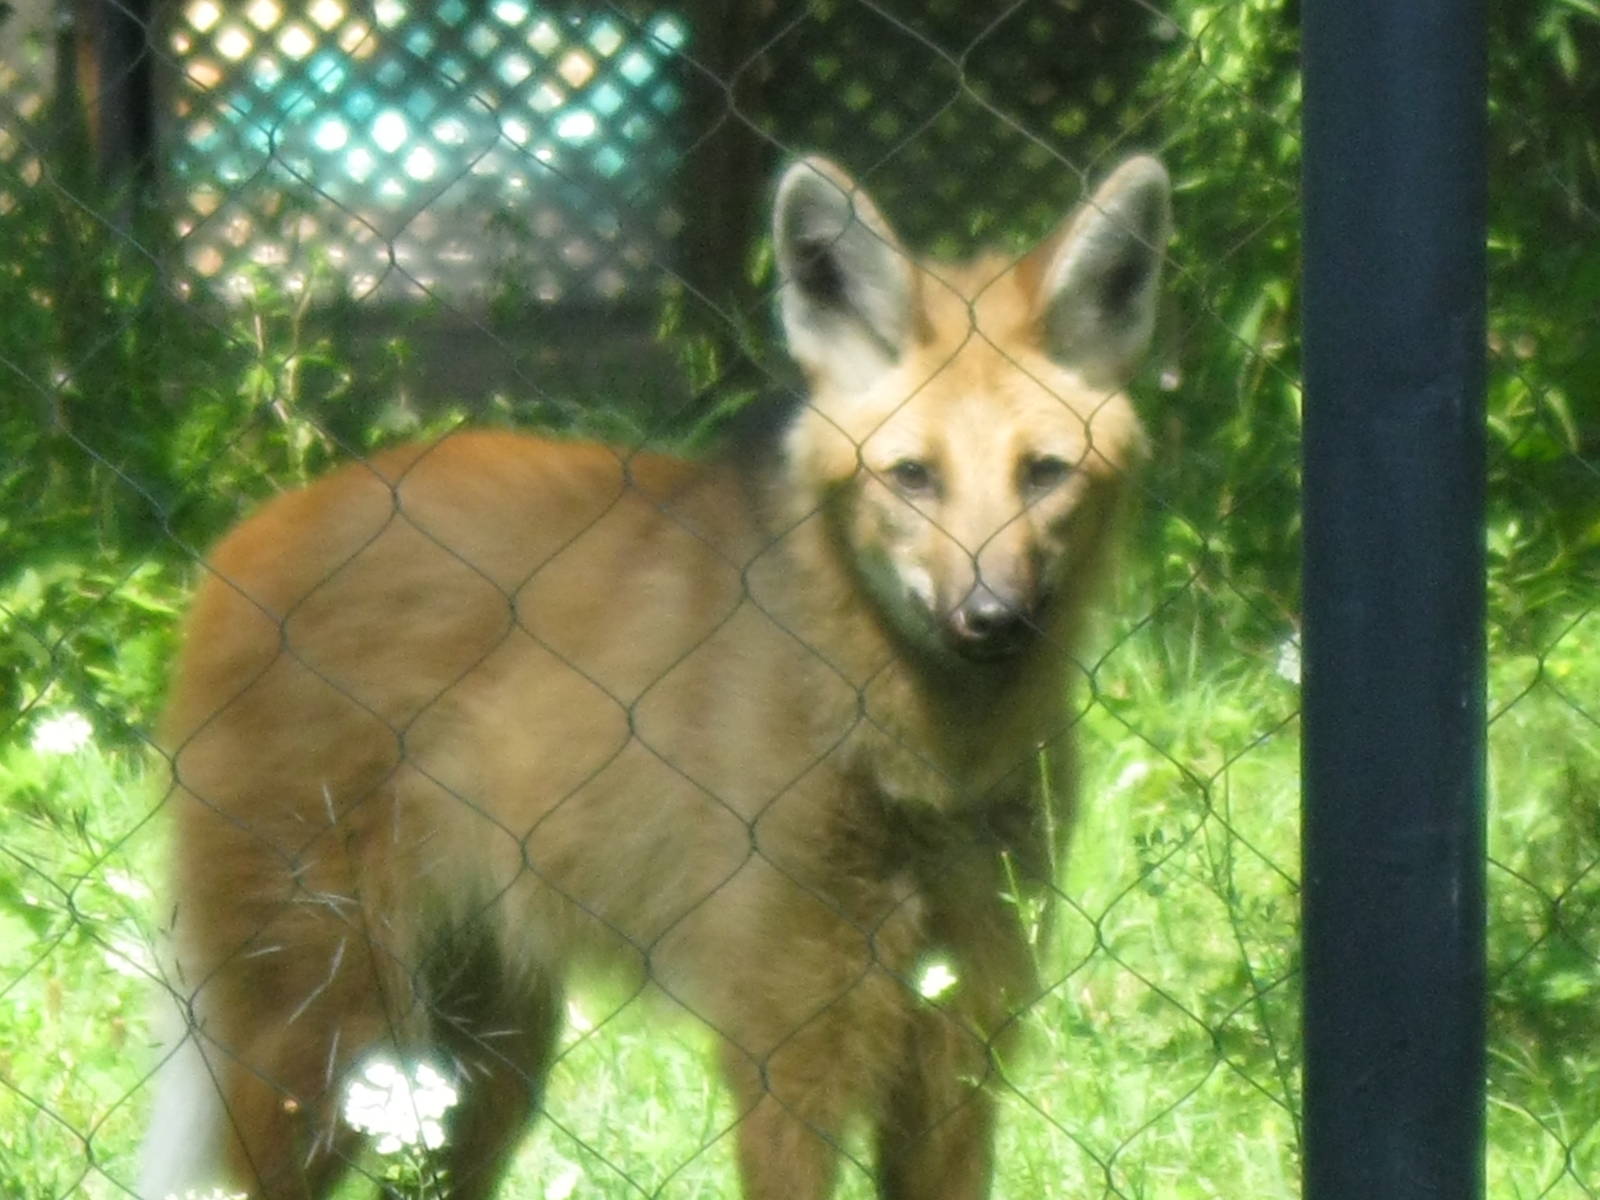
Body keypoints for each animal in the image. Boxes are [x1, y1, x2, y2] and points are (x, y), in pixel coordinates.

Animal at [138, 152, 1170, 1200]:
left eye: (1044, 474)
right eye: (913, 477)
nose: (991, 617)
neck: (921, 749)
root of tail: (244, 539)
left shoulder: (958, 1039)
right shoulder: (790, 1042)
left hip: (484, 1048)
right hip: (329, 1023)